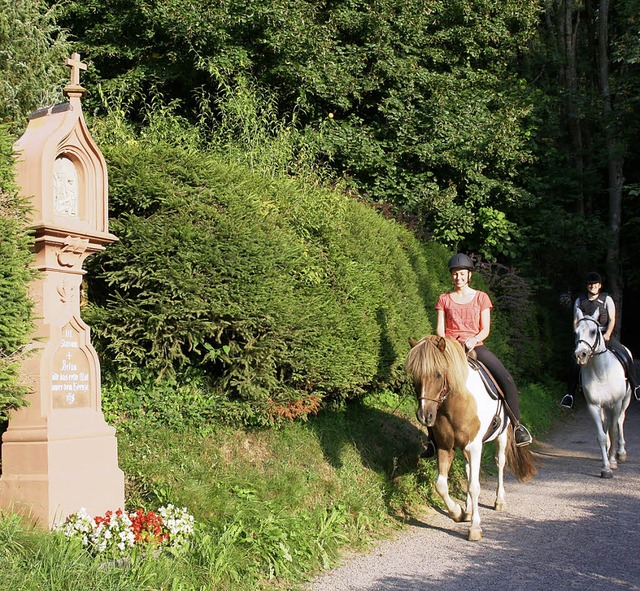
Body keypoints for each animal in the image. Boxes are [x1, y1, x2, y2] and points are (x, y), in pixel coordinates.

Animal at [408, 332, 536, 540]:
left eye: (438, 374)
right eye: (415, 376)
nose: (424, 416)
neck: (457, 401)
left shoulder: (474, 446)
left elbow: (474, 486)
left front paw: (475, 527)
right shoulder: (445, 446)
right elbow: (441, 485)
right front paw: (458, 513)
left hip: (501, 437)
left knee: (500, 463)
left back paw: (499, 501)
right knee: (469, 471)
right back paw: (468, 510)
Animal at [572, 308, 632, 478]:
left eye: (593, 331)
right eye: (576, 332)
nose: (580, 354)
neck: (601, 373)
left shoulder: (616, 403)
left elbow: (613, 430)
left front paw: (612, 461)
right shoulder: (593, 406)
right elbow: (602, 436)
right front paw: (606, 467)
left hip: (625, 401)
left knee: (620, 421)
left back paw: (621, 453)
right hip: (604, 407)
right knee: (607, 424)